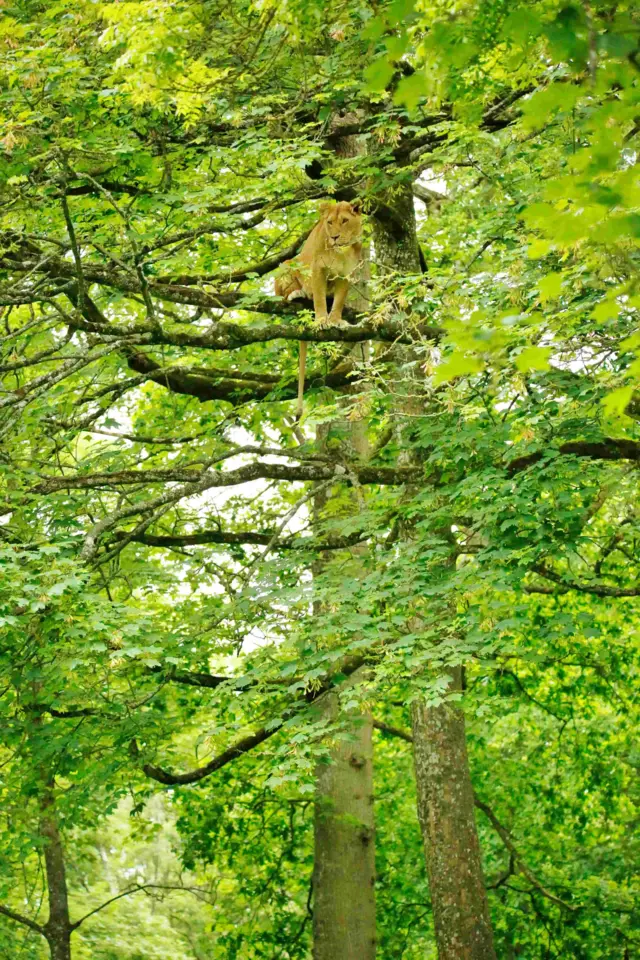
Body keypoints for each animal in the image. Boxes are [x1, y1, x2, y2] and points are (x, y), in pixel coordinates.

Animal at [275, 200, 363, 420]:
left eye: (345, 221)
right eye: (330, 222)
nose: (335, 237)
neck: (341, 251)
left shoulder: (346, 274)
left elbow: (338, 302)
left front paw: (336, 320)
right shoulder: (317, 269)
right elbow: (320, 300)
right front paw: (322, 321)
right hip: (287, 264)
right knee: (287, 293)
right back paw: (296, 294)